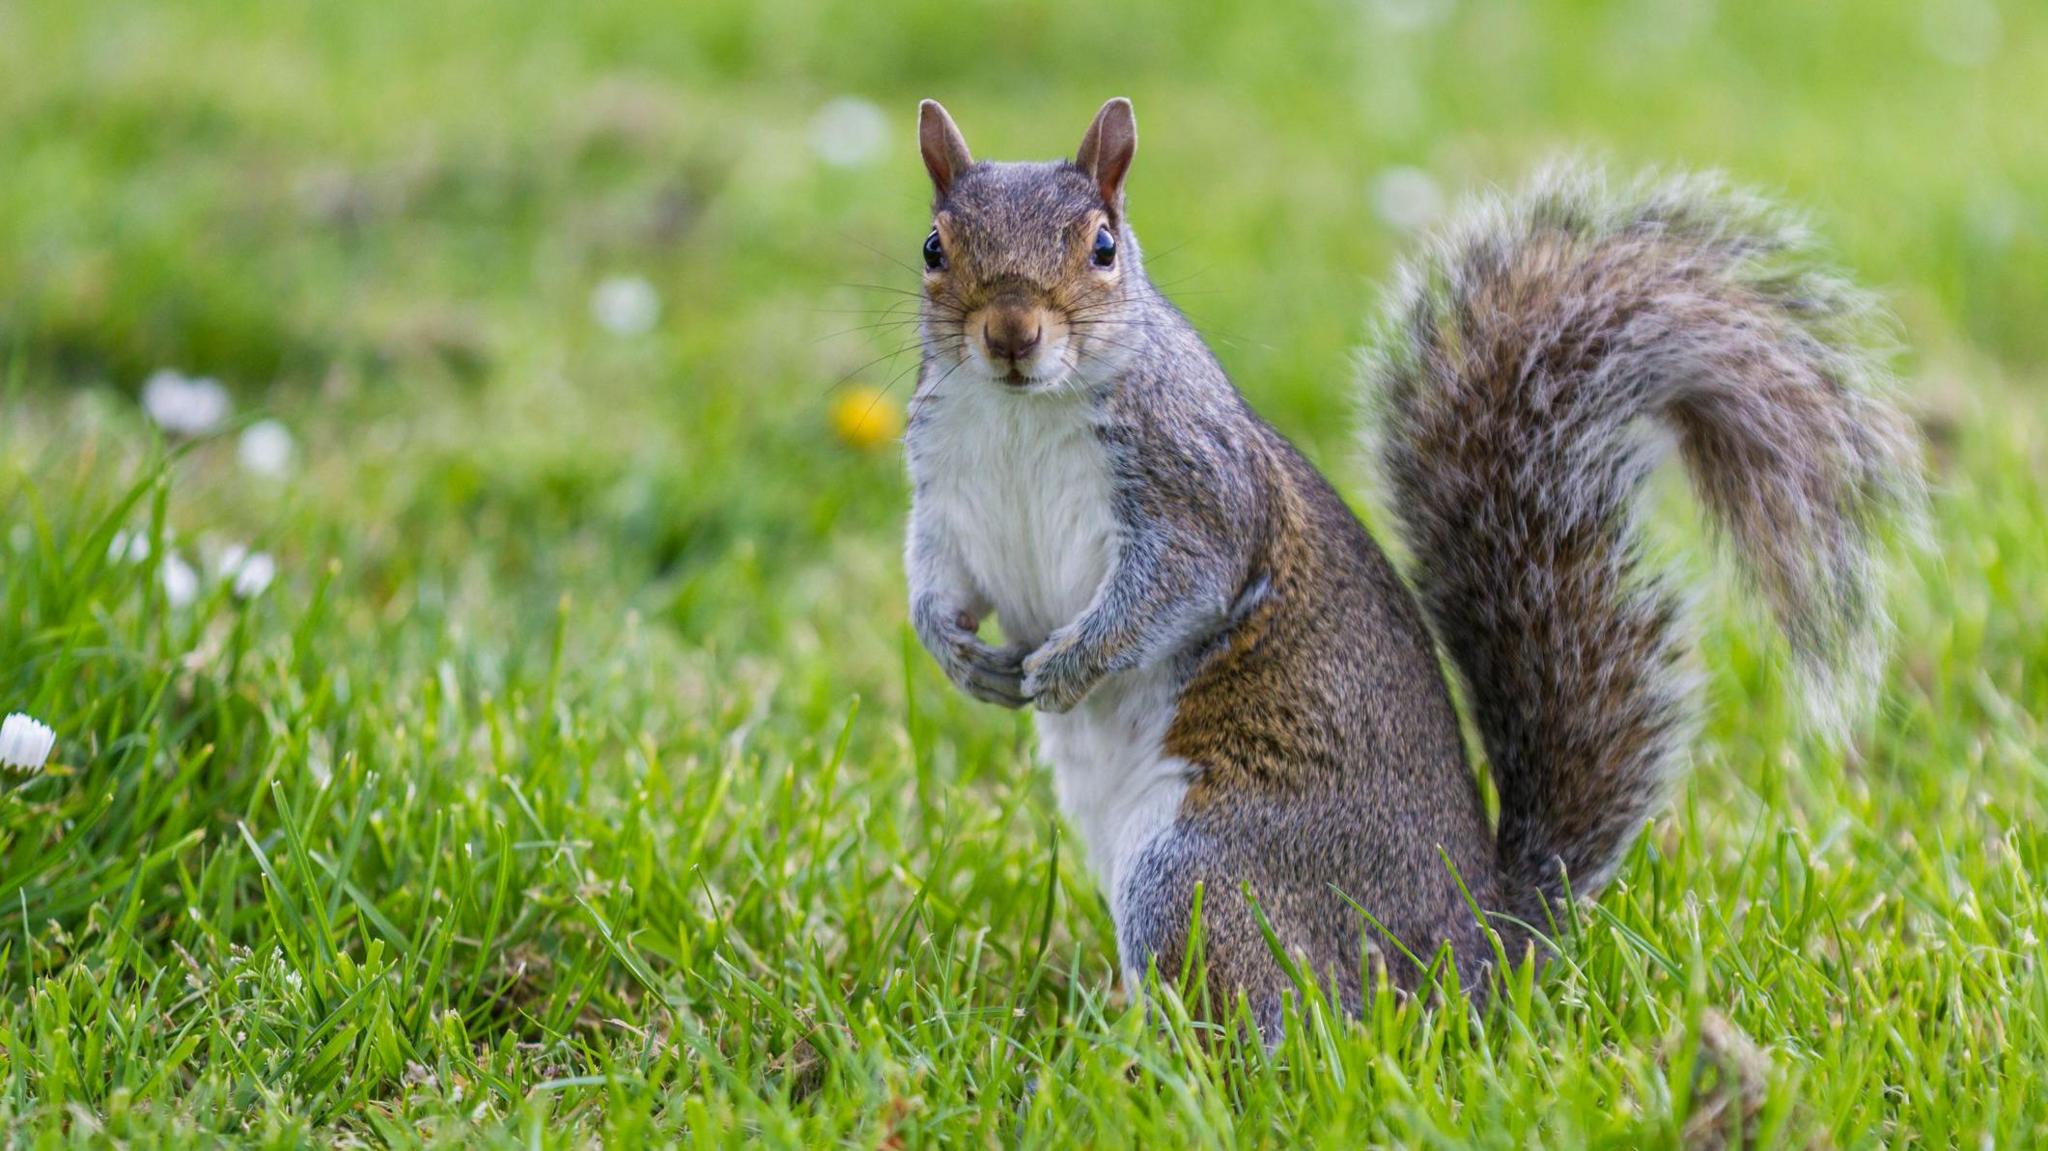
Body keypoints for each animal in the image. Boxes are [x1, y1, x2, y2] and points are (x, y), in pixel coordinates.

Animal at [901, 97, 1923, 1031]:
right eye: (933, 246)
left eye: (1104, 247)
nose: (1011, 334)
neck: (1021, 412)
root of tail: (1478, 948)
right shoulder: (945, 498)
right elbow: (936, 581)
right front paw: (961, 658)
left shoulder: (1196, 485)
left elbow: (1178, 585)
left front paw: (1068, 663)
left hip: (1202, 868)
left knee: (1284, 1018)